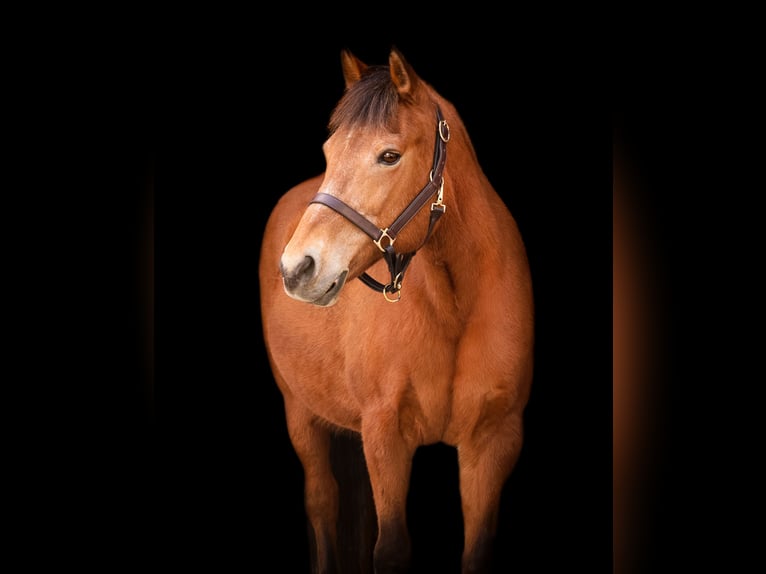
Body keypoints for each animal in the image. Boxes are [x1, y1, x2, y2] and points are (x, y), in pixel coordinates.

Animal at [259, 47, 534, 574]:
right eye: (328, 153)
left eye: (389, 155)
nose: (298, 267)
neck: (455, 305)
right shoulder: (384, 436)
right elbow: (389, 548)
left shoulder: (493, 441)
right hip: (300, 414)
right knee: (322, 503)